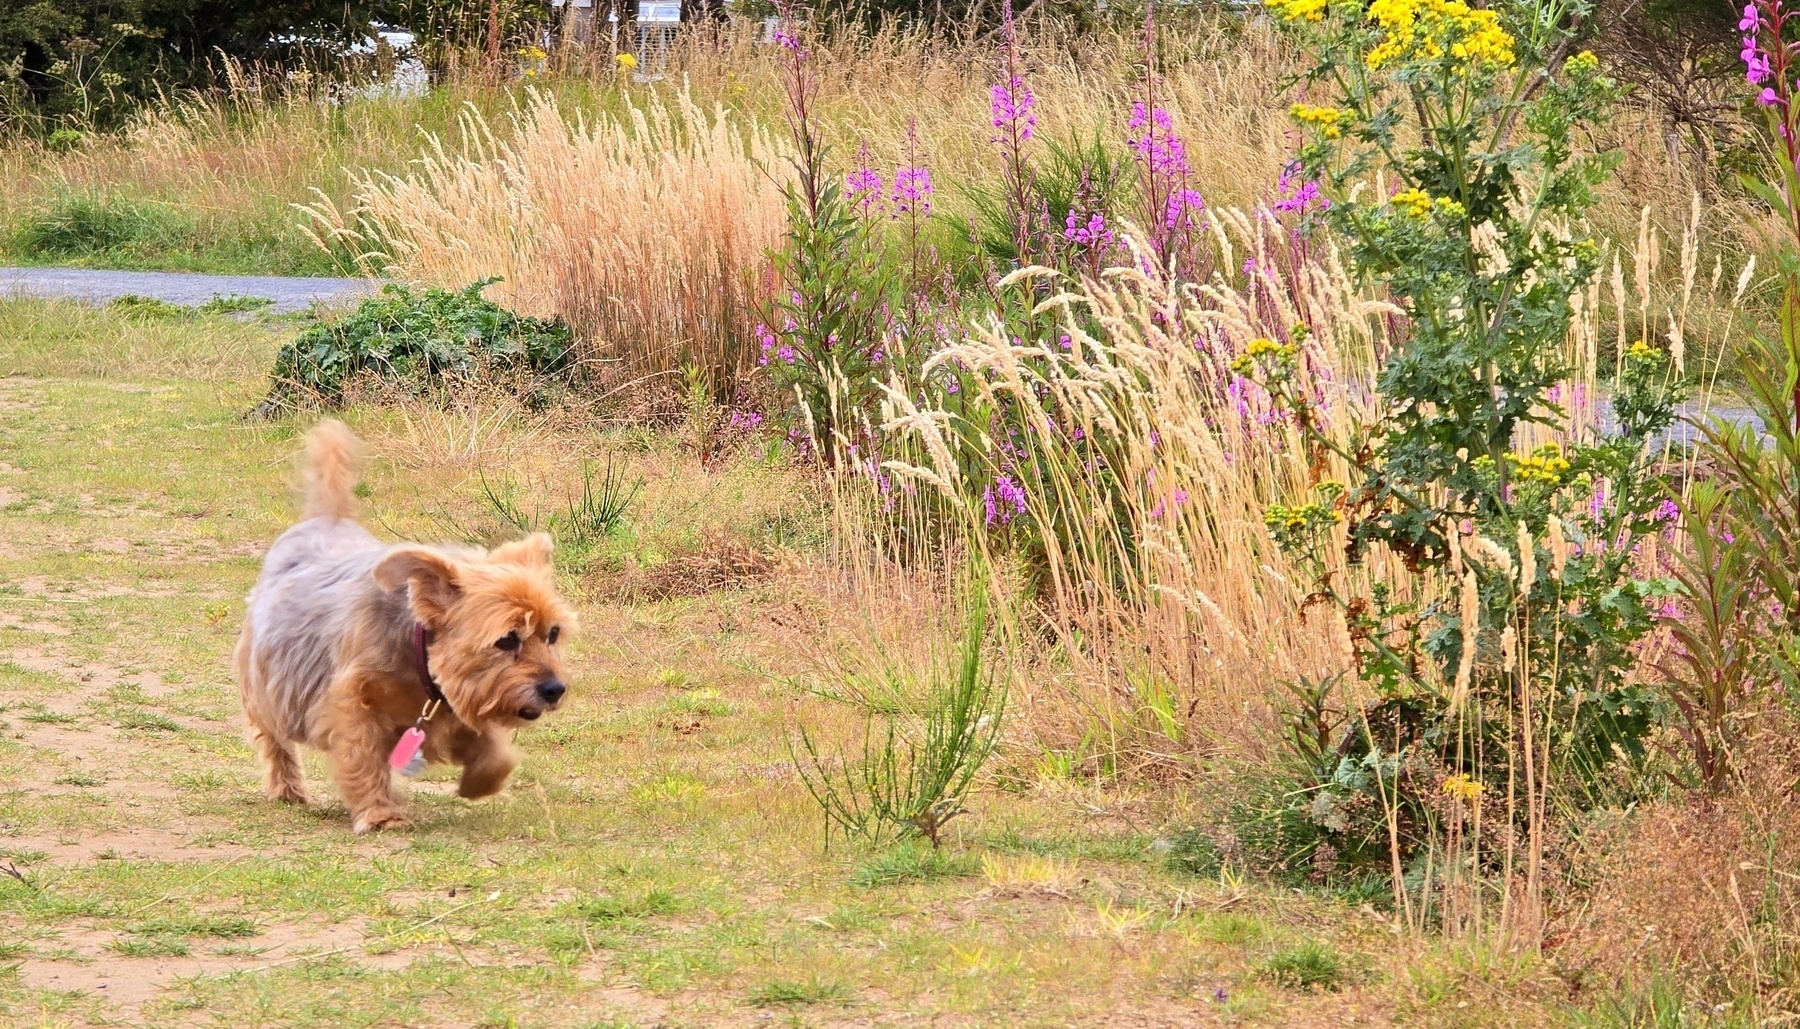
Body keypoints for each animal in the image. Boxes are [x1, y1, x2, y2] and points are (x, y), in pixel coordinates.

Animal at [235, 422, 576, 831]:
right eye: (507, 639)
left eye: (552, 634)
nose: (555, 689)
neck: (419, 657)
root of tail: (328, 519)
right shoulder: (352, 703)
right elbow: (363, 756)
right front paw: (380, 813)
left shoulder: (455, 709)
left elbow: (497, 755)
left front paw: (477, 783)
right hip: (267, 681)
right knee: (273, 737)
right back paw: (287, 787)